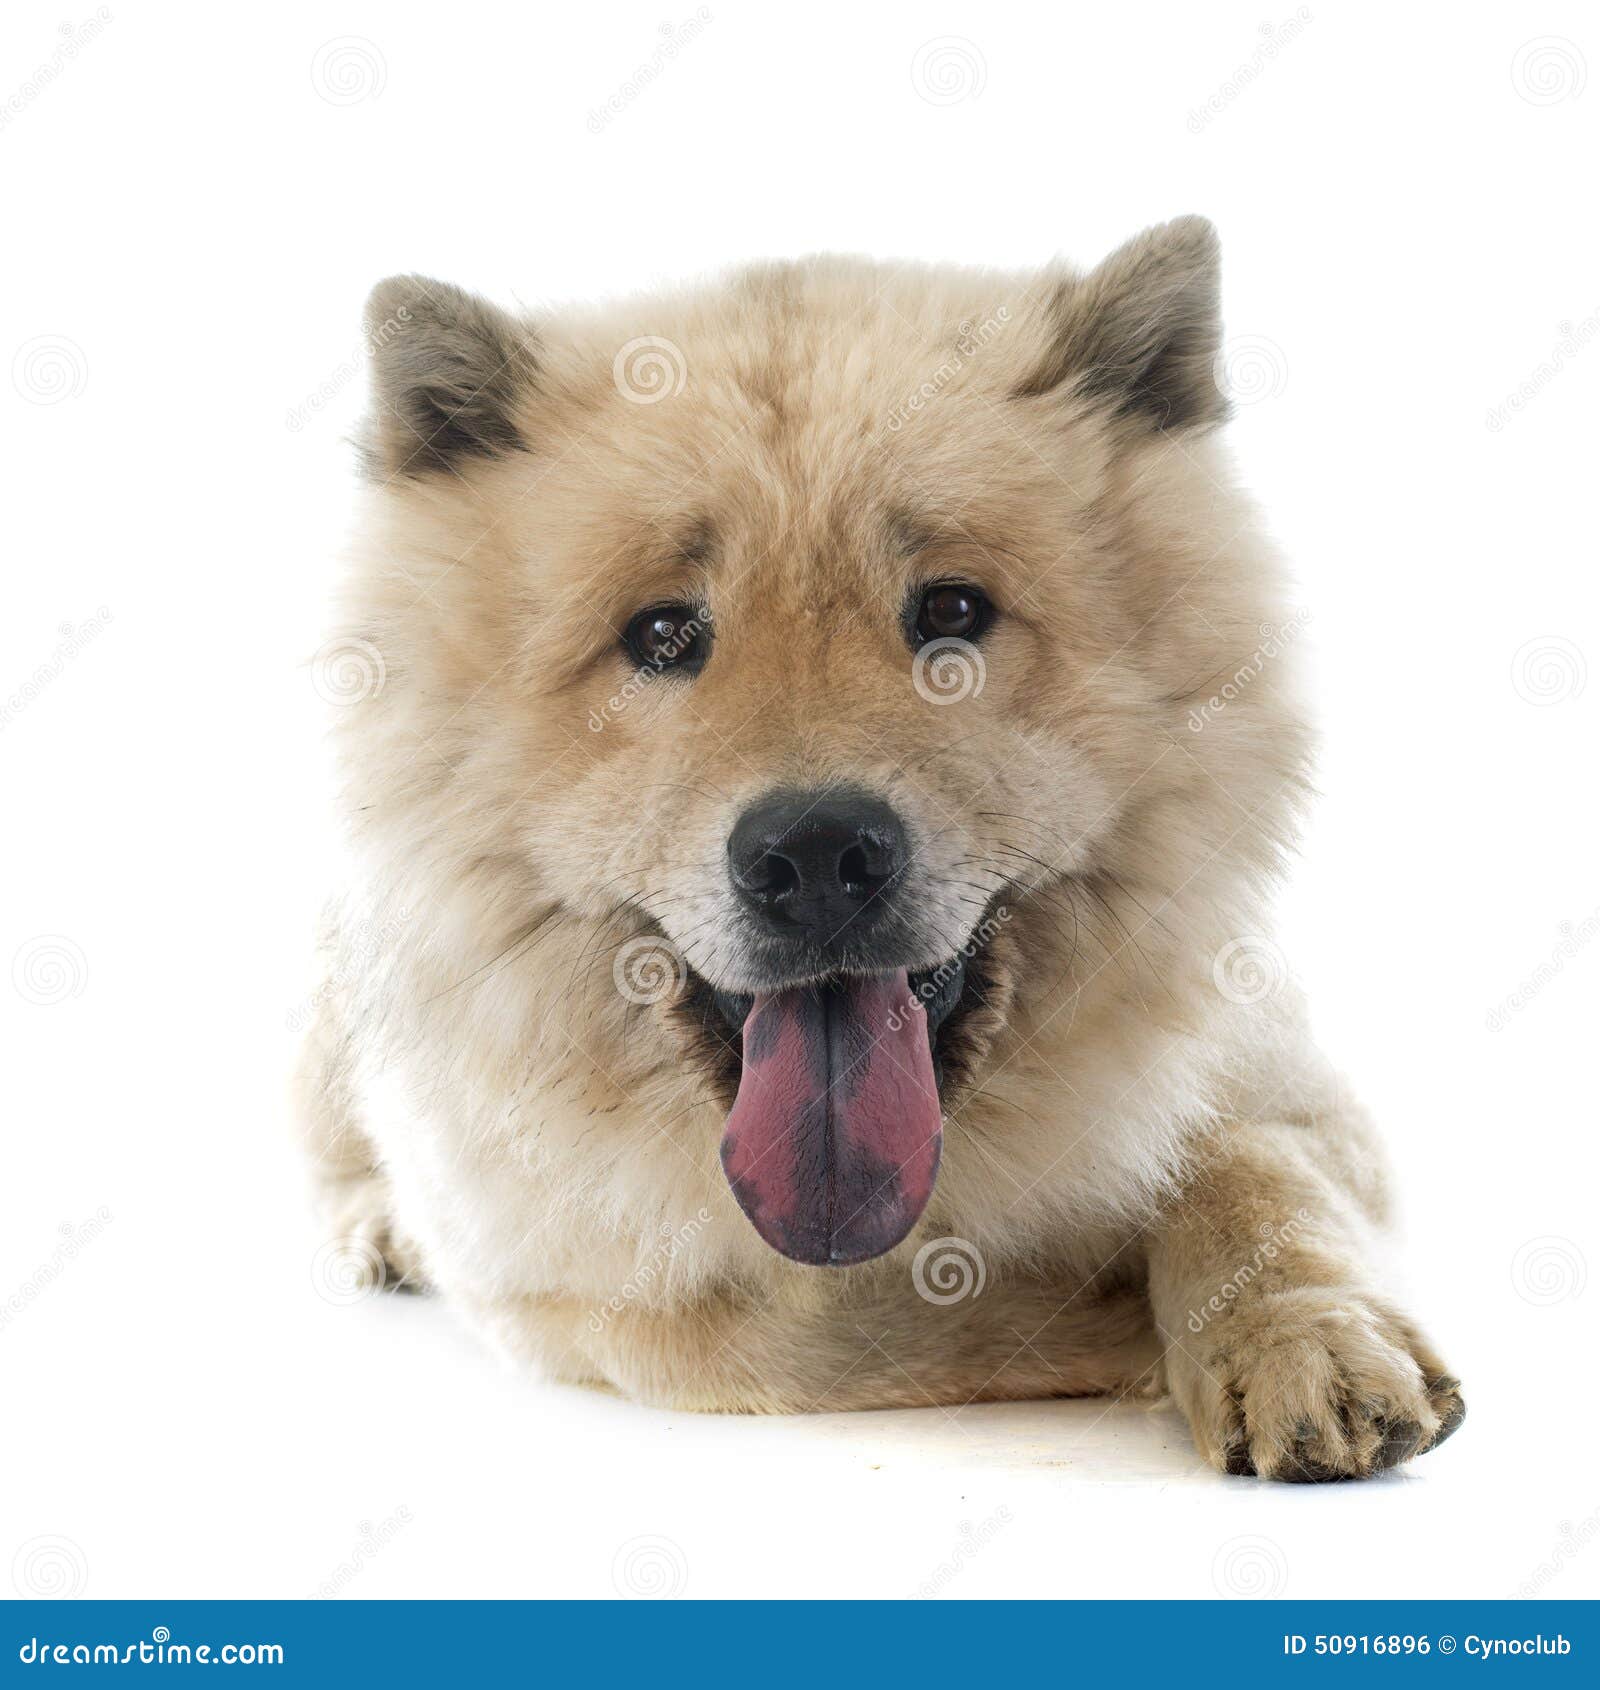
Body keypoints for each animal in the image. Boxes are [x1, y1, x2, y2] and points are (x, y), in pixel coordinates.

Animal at [297, 221, 1466, 1480]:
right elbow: (826, 1332)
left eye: (949, 613)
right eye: (661, 634)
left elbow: (1252, 1171)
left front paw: (1305, 1343)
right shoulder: (574, 1287)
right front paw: (1105, 1316)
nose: (814, 856)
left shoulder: (1289, 1080)